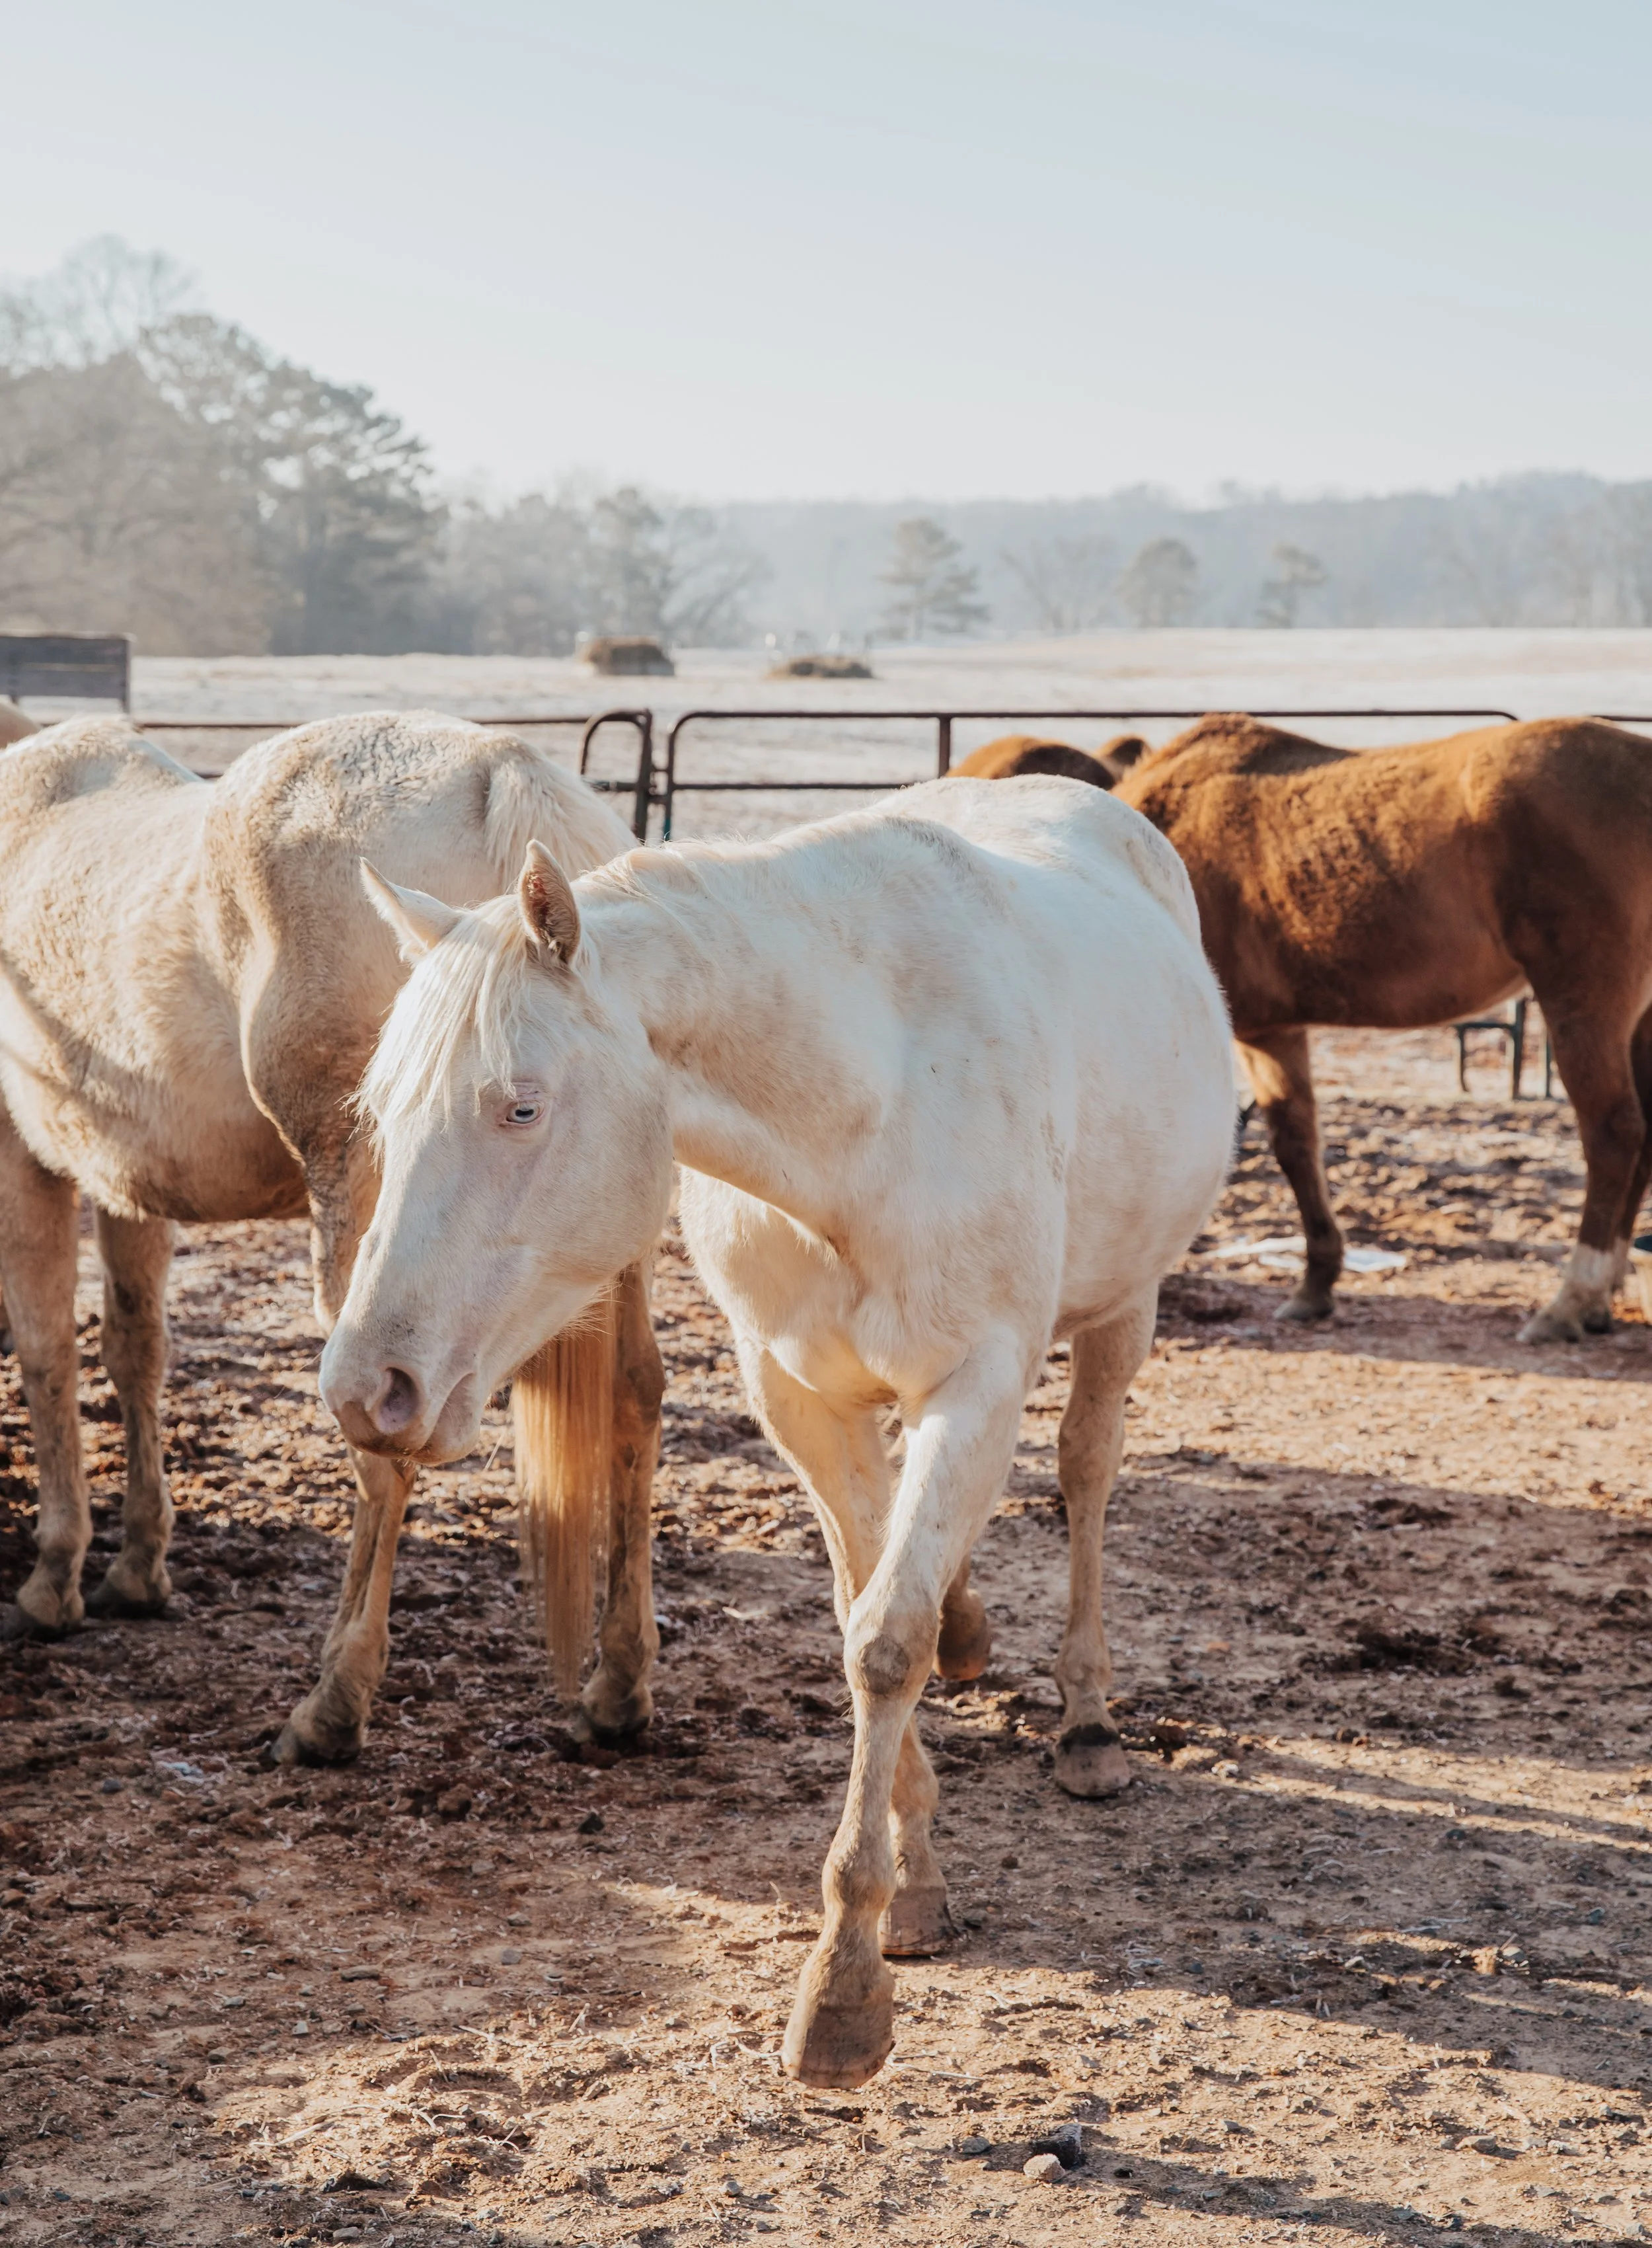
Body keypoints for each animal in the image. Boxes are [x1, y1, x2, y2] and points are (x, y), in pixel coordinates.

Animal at [0, 710, 664, 1763]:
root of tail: (500, 770)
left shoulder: (26, 1164)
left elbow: (45, 1352)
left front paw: (53, 1577)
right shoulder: (130, 1188)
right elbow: (135, 1350)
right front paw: (139, 1567)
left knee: (381, 1436)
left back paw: (331, 1703)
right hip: (610, 1234)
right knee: (637, 1393)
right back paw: (617, 1691)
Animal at [319, 773, 1234, 2088]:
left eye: (519, 1107)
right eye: (382, 1112)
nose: (369, 1389)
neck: (869, 1105)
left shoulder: (977, 1383)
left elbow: (886, 1643)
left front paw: (845, 1986)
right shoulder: (798, 1396)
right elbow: (867, 1606)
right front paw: (915, 1880)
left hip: (1126, 1307)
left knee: (1087, 1474)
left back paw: (1091, 1724)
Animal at [1106, 713, 1652, 1339]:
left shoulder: (1254, 1033)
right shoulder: (1276, 1031)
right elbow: (1298, 1142)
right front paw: (1317, 1282)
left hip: (1583, 1002)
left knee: (1614, 1133)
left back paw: (1572, 1299)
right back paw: (1605, 1294)